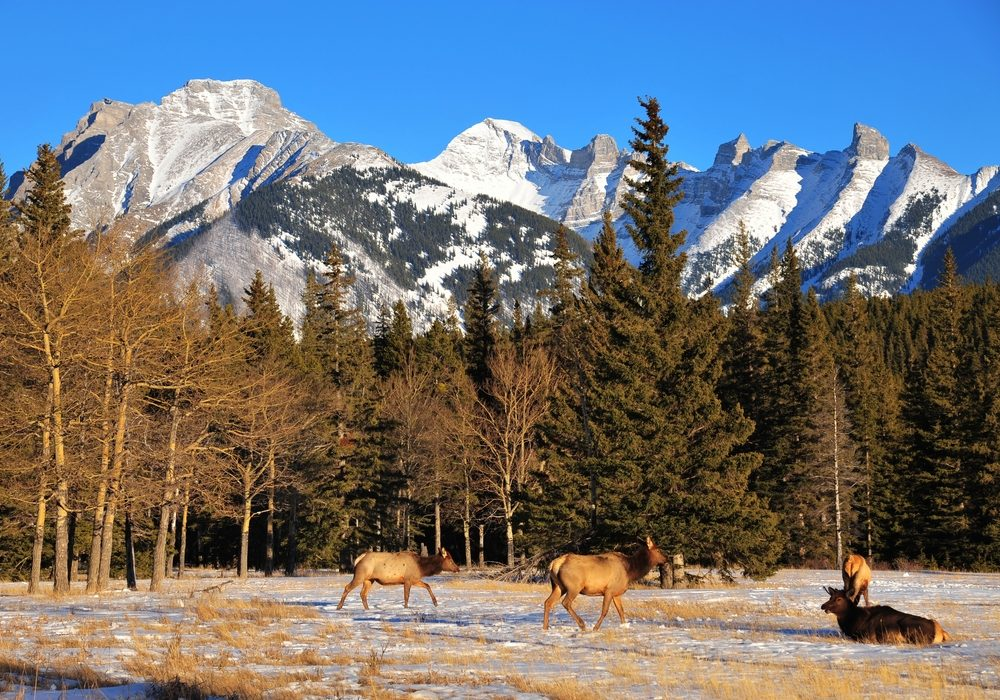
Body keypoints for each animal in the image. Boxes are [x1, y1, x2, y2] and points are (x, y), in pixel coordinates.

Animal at [820, 584, 952, 644]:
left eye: (839, 599)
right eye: (830, 597)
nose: (823, 606)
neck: (853, 622)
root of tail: (941, 631)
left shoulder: (867, 637)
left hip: (911, 628)